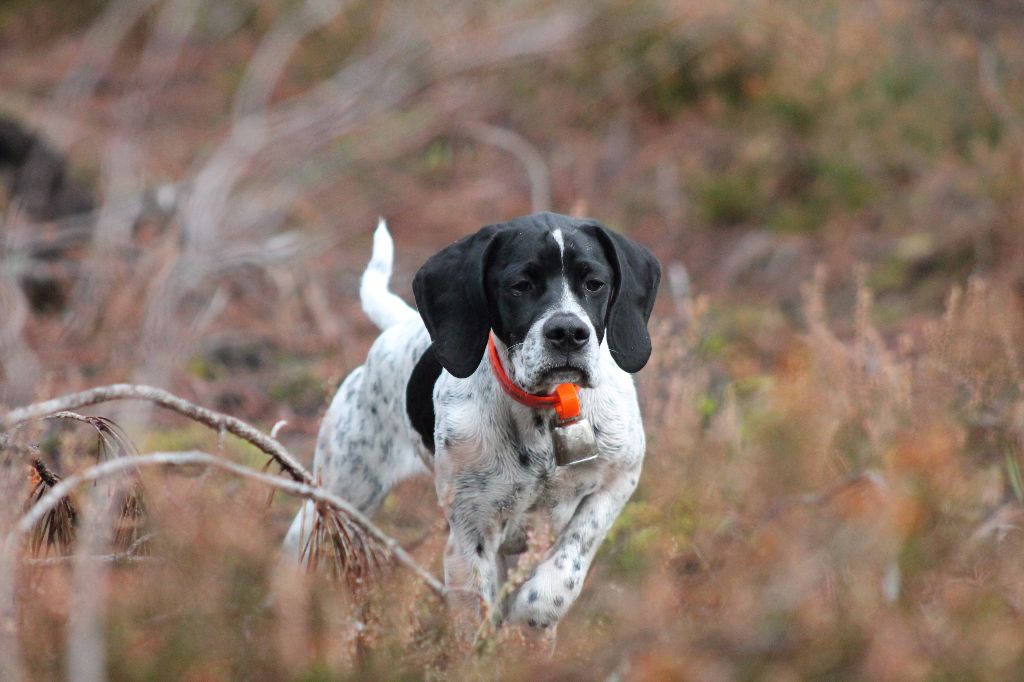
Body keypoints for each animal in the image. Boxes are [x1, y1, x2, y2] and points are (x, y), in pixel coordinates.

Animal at [284, 209, 659, 630]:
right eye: (520, 286)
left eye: (594, 284)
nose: (567, 333)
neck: (547, 410)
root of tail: (398, 327)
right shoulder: (470, 536)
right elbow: (476, 624)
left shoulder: (618, 481)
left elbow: (566, 567)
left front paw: (534, 615)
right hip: (338, 498)